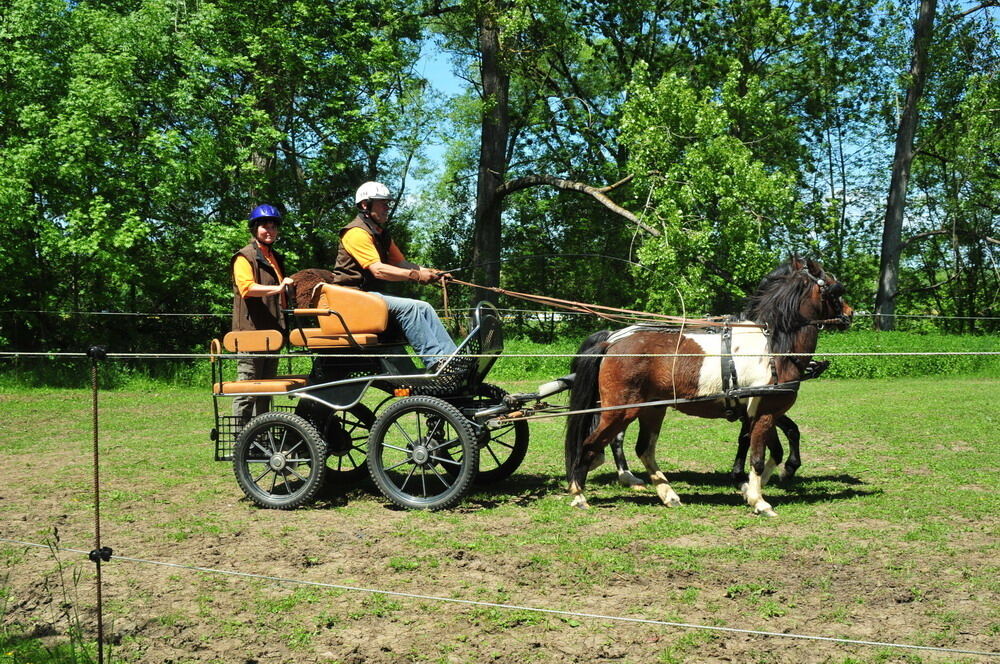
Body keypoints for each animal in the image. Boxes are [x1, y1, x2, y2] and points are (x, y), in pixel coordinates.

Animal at [564, 256, 852, 516]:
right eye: (835, 287)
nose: (850, 313)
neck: (774, 347)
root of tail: (612, 342)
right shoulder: (765, 412)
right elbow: (759, 456)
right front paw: (759, 500)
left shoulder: (761, 412)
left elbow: (772, 449)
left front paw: (752, 487)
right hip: (620, 410)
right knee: (591, 443)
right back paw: (579, 493)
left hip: (652, 409)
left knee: (644, 449)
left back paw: (668, 495)